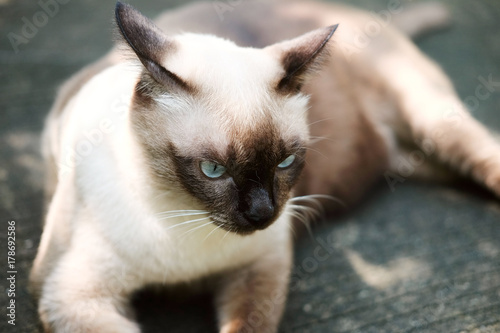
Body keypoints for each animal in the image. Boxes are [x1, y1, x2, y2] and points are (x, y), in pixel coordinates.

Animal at [29, 0, 500, 332]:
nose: (262, 214)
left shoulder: (262, 268)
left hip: (437, 126)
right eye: (213, 170)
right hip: (414, 159)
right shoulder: (72, 296)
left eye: (286, 161)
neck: (181, 226)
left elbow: (246, 325)